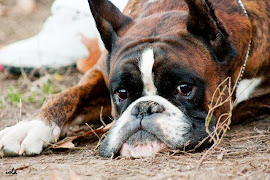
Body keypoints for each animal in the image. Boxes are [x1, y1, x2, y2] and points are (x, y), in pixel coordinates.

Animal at [0, 0, 270, 158]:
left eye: (184, 88)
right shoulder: (99, 76)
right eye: (121, 94)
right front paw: (31, 127)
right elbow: (67, 95)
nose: (144, 108)